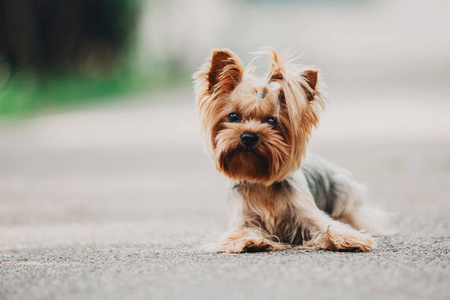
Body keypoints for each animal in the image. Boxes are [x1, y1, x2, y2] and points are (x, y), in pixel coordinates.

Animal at [193, 47, 386, 253]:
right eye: (233, 116)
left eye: (272, 121)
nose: (248, 137)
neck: (261, 183)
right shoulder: (243, 220)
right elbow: (241, 233)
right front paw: (251, 241)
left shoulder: (307, 214)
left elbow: (328, 225)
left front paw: (350, 239)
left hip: (343, 193)